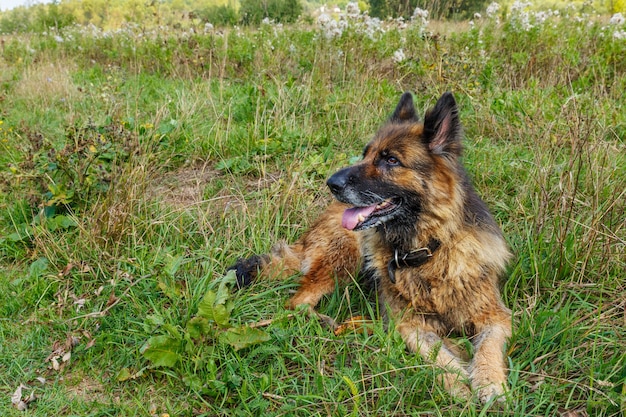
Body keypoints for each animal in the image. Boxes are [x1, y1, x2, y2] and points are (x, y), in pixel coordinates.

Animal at [229, 92, 512, 404]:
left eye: (391, 160)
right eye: (365, 154)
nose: (331, 183)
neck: (427, 250)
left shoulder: (494, 316)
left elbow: (488, 348)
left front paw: (489, 383)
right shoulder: (408, 325)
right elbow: (438, 354)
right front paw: (458, 383)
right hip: (344, 257)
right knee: (297, 302)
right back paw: (326, 322)